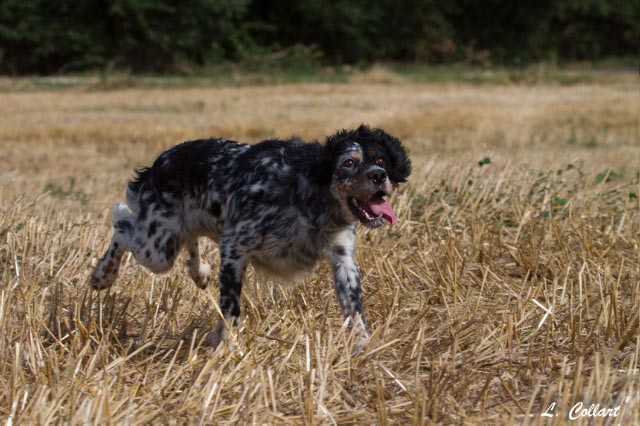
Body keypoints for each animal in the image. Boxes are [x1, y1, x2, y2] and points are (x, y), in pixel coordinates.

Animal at [89, 125, 410, 348]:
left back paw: (199, 270)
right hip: (157, 249)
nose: (379, 175)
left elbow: (354, 310)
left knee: (185, 238)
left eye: (381, 159)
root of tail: (160, 162)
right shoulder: (235, 248)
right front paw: (228, 348)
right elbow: (231, 309)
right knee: (122, 224)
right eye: (348, 163)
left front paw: (362, 347)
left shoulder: (343, 259)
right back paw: (103, 275)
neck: (309, 196)